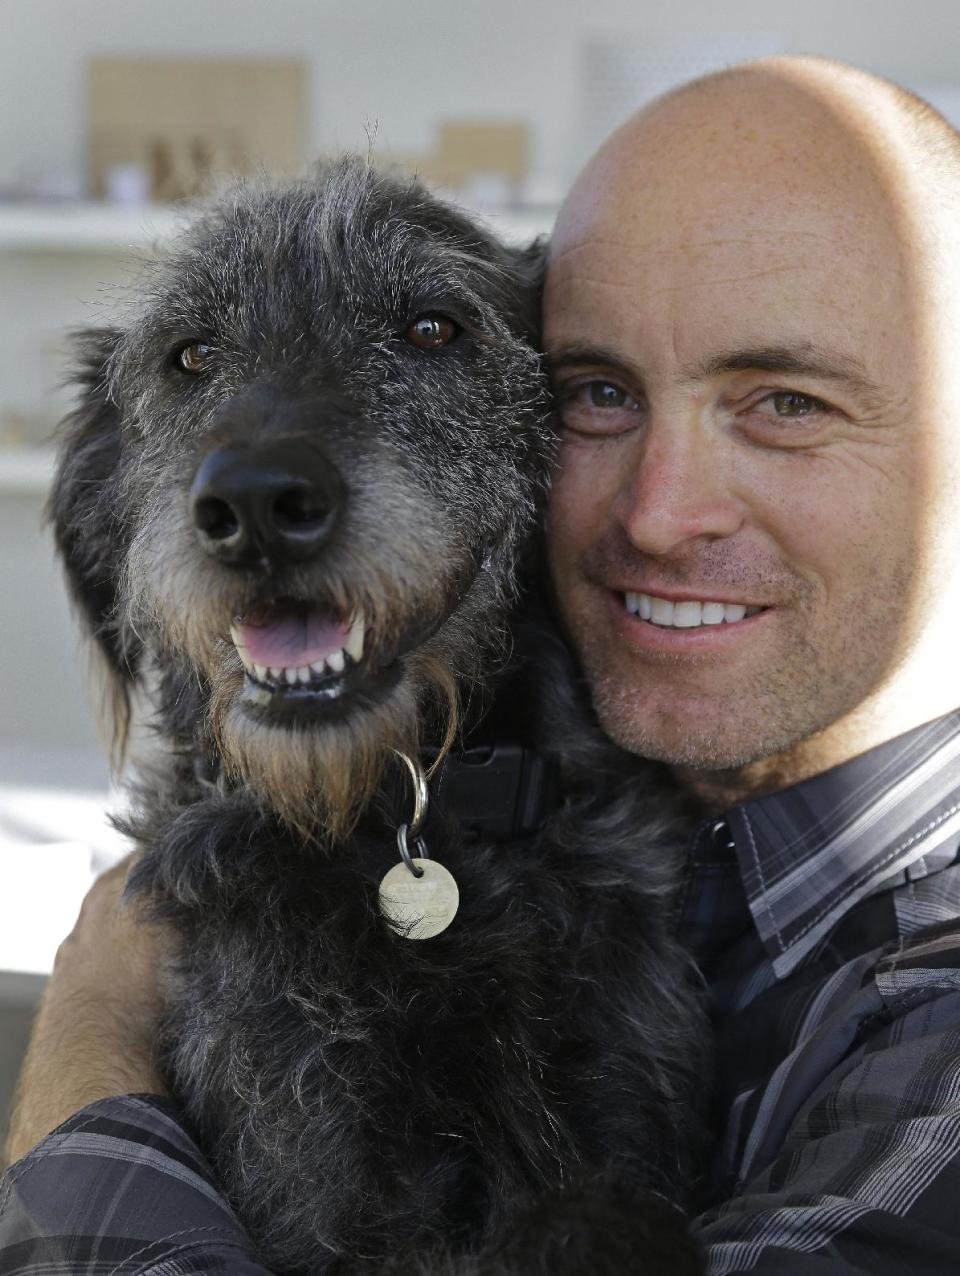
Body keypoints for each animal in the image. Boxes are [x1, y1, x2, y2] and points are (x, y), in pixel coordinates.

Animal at [50, 159, 704, 1276]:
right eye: (191, 354)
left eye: (433, 328)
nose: (256, 504)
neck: (402, 816)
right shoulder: (322, 1183)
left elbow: (603, 1211)